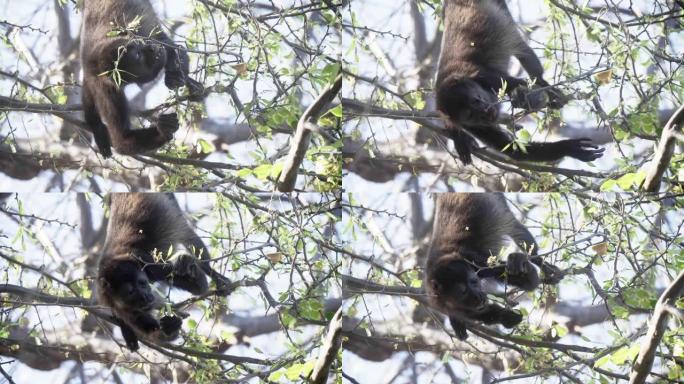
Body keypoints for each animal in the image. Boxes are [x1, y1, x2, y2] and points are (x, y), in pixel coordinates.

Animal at [80, 0, 203, 158]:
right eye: (139, 56)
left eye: (137, 47)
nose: (152, 48)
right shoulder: (106, 89)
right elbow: (122, 139)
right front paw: (163, 130)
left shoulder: (135, 32)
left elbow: (173, 47)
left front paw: (175, 77)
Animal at [97, 194, 230, 350]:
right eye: (130, 291)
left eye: (142, 283)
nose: (145, 296)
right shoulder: (108, 299)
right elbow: (149, 329)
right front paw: (169, 327)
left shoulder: (144, 261)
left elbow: (198, 286)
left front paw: (186, 263)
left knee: (189, 238)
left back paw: (215, 275)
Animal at [424, 194, 564, 340]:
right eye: (463, 291)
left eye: (474, 282)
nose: (479, 296)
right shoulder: (437, 300)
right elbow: (479, 314)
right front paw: (506, 317)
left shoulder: (474, 261)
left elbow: (530, 281)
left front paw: (517, 260)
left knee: (518, 231)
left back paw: (543, 266)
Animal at [438, 0, 604, 164]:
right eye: (471, 115)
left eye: (476, 99)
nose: (485, 111)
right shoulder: (471, 125)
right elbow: (513, 149)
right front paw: (570, 148)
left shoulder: (485, 76)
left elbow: (522, 86)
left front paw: (524, 97)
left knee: (520, 44)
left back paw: (544, 84)